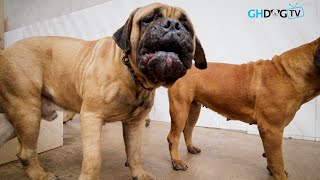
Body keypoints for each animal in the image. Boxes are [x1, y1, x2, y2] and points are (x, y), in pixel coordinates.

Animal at [0, 2, 208, 180]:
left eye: (186, 26)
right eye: (148, 19)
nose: (173, 25)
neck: (130, 73)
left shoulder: (135, 124)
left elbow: (134, 153)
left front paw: (139, 174)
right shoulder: (91, 117)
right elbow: (94, 159)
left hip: (12, 124)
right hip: (28, 113)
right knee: (26, 152)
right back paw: (41, 175)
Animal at [166, 37, 320, 179]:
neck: (289, 74)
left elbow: (270, 156)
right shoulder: (273, 130)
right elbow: (278, 161)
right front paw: (280, 174)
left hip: (193, 109)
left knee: (187, 130)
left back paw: (191, 148)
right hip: (180, 109)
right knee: (173, 137)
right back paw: (176, 162)